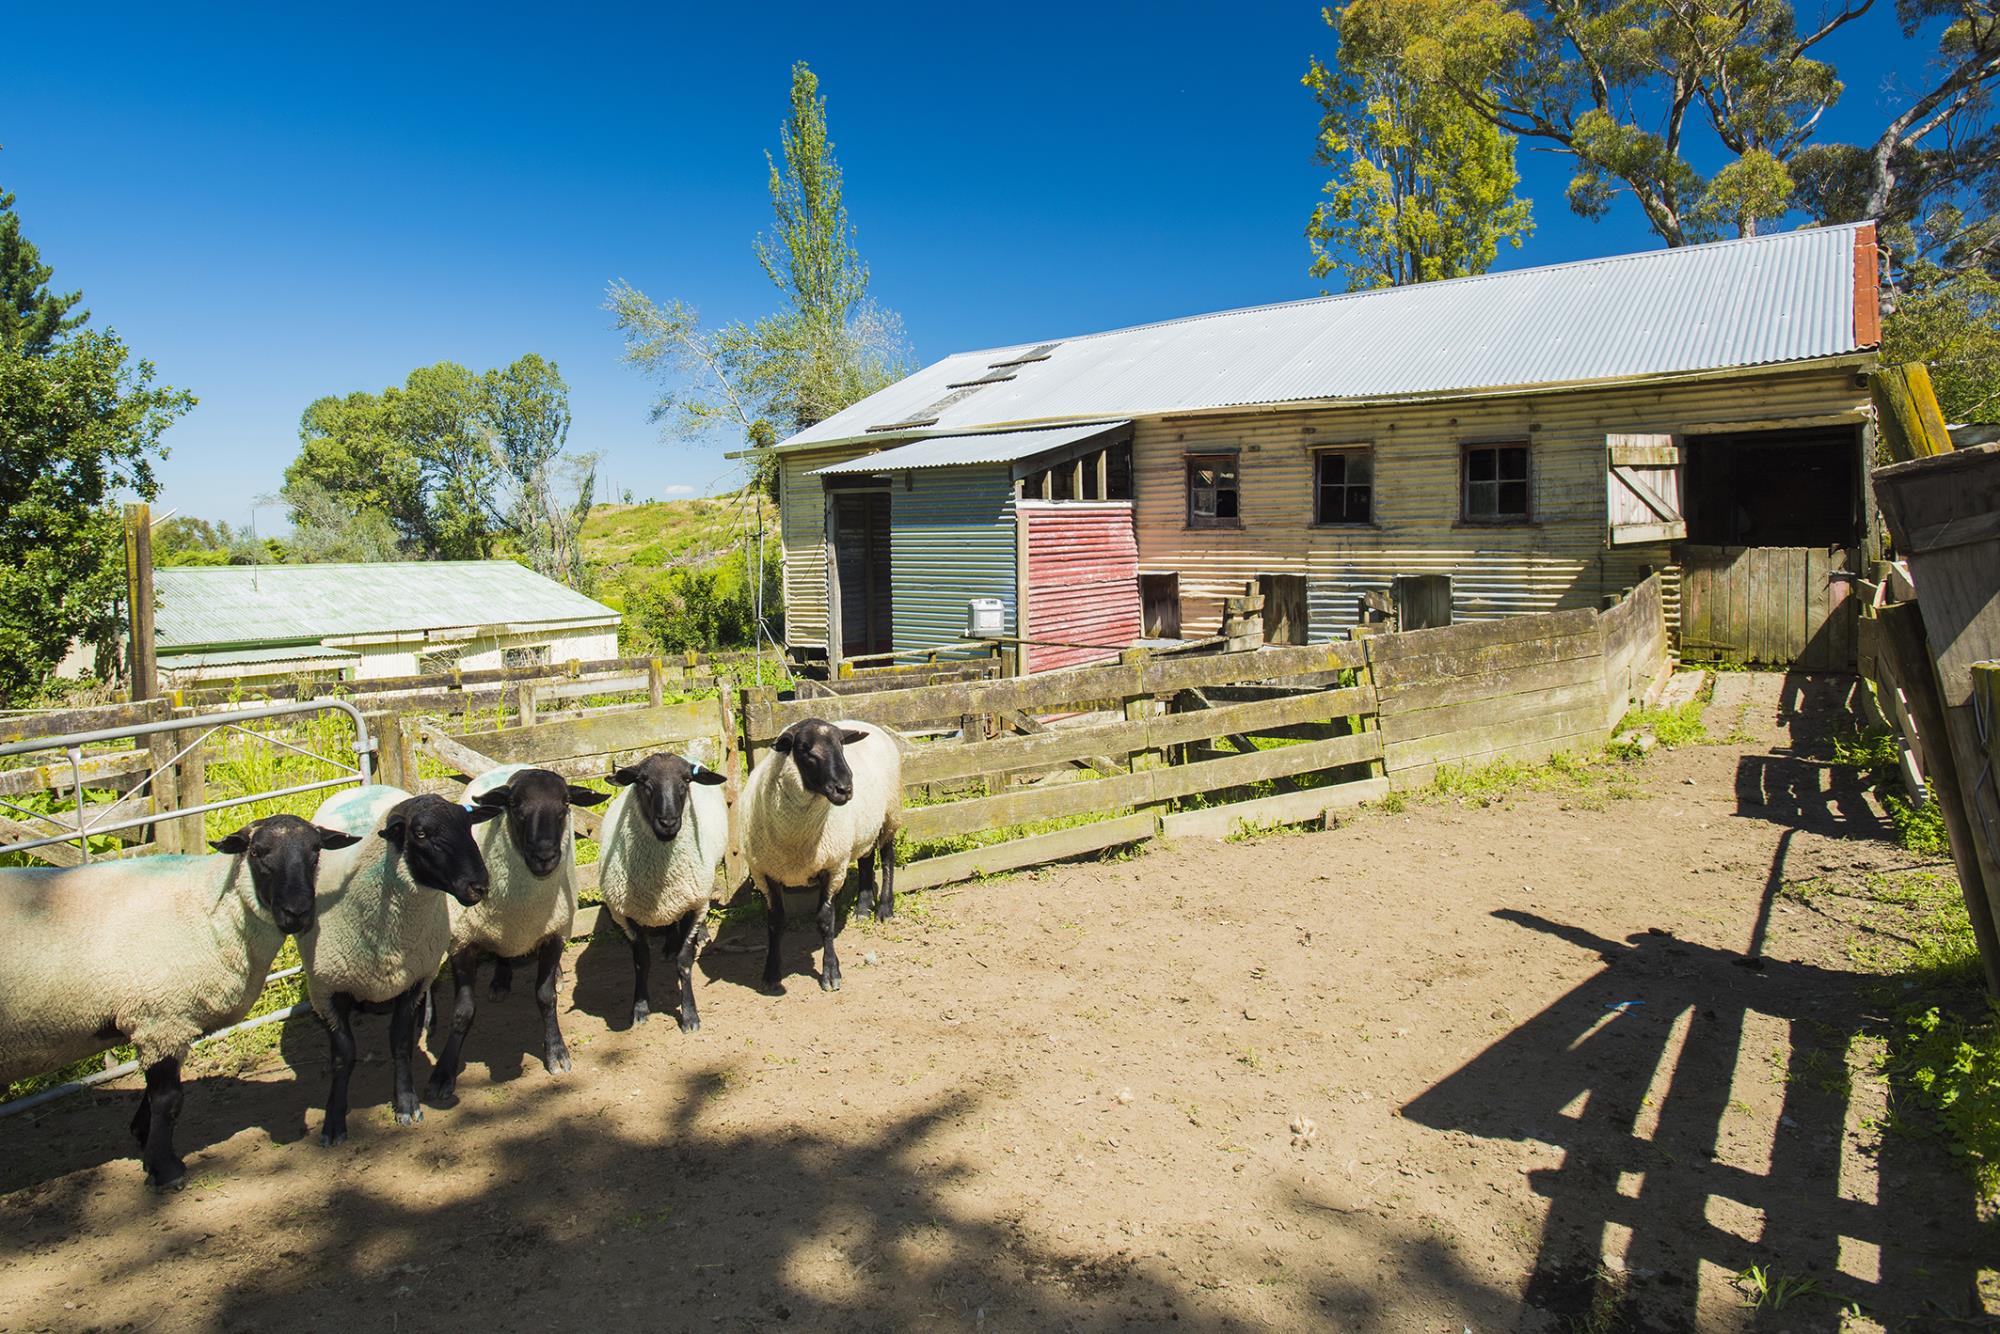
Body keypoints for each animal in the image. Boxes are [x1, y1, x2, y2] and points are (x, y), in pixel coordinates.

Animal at [0, 816, 360, 1192]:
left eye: (316, 851)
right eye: (258, 852)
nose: (298, 913)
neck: (210, 912)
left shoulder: (155, 1024)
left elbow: (153, 1092)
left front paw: (143, 1137)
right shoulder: (161, 1019)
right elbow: (168, 1100)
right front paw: (165, 1167)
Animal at [300, 784, 496, 1152]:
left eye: (468, 827)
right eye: (419, 834)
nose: (479, 886)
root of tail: (371, 785)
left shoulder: (414, 979)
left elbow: (400, 1042)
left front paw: (406, 1102)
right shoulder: (326, 990)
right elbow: (343, 1055)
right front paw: (333, 1120)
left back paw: (428, 1020)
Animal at [424, 760, 604, 1104]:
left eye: (565, 804)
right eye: (515, 806)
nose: (545, 856)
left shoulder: (555, 931)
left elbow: (545, 997)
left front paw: (556, 1052)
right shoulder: (462, 941)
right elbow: (462, 1011)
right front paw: (443, 1073)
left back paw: (555, 976)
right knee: (503, 952)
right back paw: (500, 979)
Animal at [592, 756, 736, 1032]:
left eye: (685, 781)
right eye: (643, 782)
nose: (668, 822)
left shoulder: (694, 904)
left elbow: (685, 962)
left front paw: (690, 1016)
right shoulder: (626, 916)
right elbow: (641, 961)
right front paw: (639, 1009)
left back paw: (699, 935)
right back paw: (669, 943)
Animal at [740, 720, 904, 992]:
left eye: (842, 744)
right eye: (804, 749)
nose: (845, 789)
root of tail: (868, 724)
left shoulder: (833, 867)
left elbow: (825, 920)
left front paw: (830, 972)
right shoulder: (765, 872)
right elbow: (775, 922)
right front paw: (771, 973)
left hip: (890, 814)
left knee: (887, 856)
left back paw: (884, 909)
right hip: (864, 828)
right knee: (866, 858)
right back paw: (862, 907)